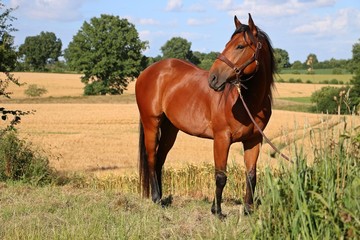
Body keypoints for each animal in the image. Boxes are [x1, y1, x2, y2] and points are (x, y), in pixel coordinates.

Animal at [136, 13, 276, 218]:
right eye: (228, 43)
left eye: (240, 46)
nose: (213, 78)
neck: (248, 102)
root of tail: (147, 72)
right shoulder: (221, 139)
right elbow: (220, 176)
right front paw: (217, 211)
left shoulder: (254, 140)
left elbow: (251, 175)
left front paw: (248, 210)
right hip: (151, 123)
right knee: (152, 158)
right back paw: (157, 199)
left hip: (170, 128)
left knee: (160, 159)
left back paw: (161, 197)